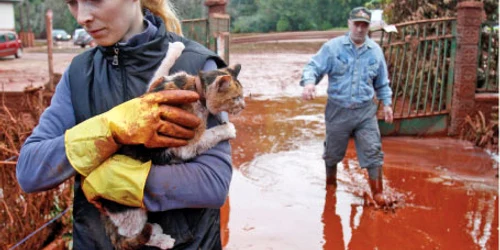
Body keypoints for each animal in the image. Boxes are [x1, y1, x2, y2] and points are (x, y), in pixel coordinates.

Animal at [96, 42, 245, 249]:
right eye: (235, 98)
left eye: (242, 96)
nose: (244, 106)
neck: (194, 87)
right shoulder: (185, 145)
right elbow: (210, 135)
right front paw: (228, 129)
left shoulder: (152, 88)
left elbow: (161, 68)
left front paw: (176, 48)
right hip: (129, 208)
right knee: (130, 235)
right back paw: (162, 239)